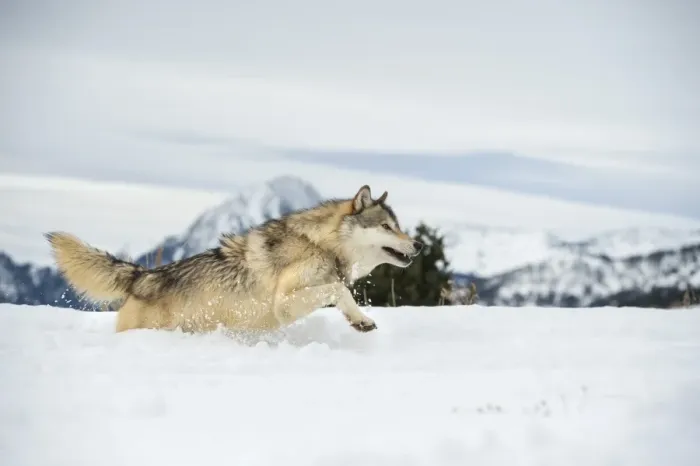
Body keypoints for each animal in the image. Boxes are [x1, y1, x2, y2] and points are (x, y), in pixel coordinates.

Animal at [45, 185, 423, 334]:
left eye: (399, 226)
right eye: (387, 227)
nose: (418, 245)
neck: (320, 244)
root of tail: (143, 276)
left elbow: (341, 294)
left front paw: (359, 321)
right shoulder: (284, 304)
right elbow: (338, 289)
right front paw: (361, 319)